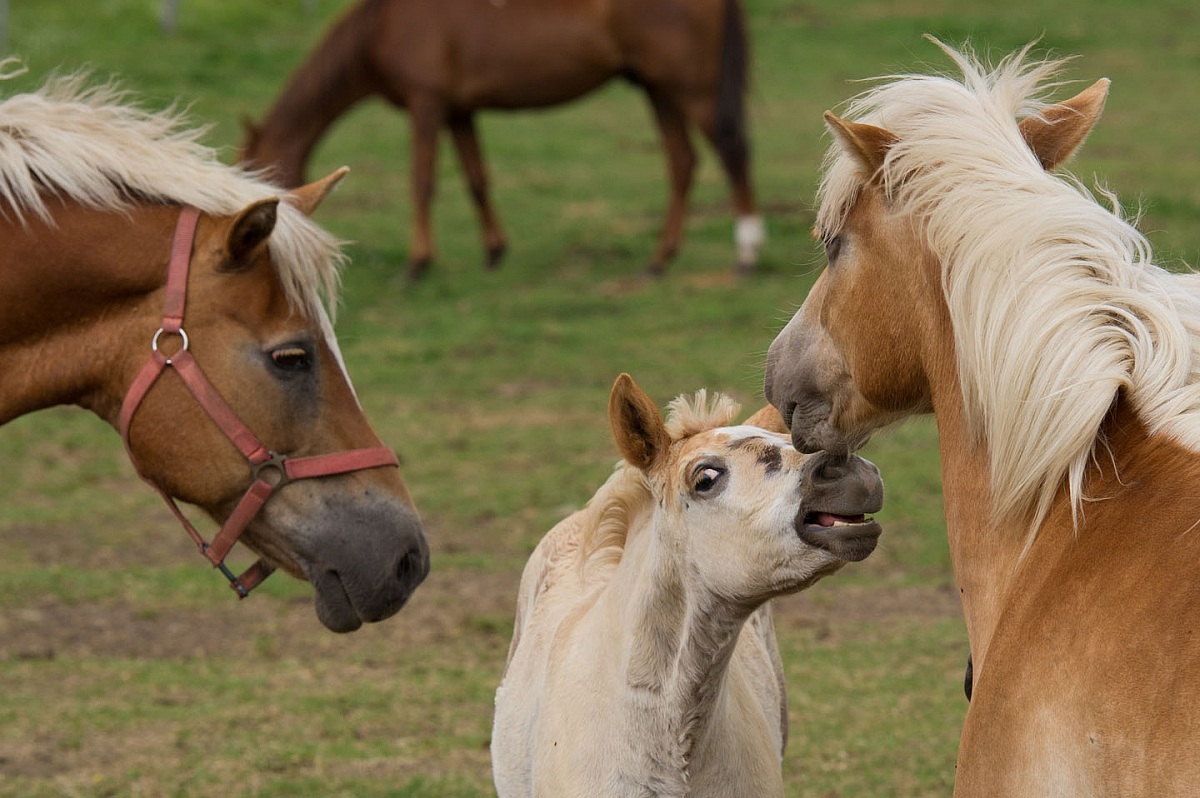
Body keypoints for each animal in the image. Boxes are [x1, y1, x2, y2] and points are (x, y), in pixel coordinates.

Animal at [239, 0, 765, 281]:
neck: (384, 21)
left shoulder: (427, 104)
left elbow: (422, 181)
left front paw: (417, 264)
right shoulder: (459, 112)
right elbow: (476, 179)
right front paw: (494, 252)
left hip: (689, 89)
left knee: (733, 153)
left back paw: (746, 253)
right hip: (657, 89)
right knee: (682, 161)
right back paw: (659, 260)